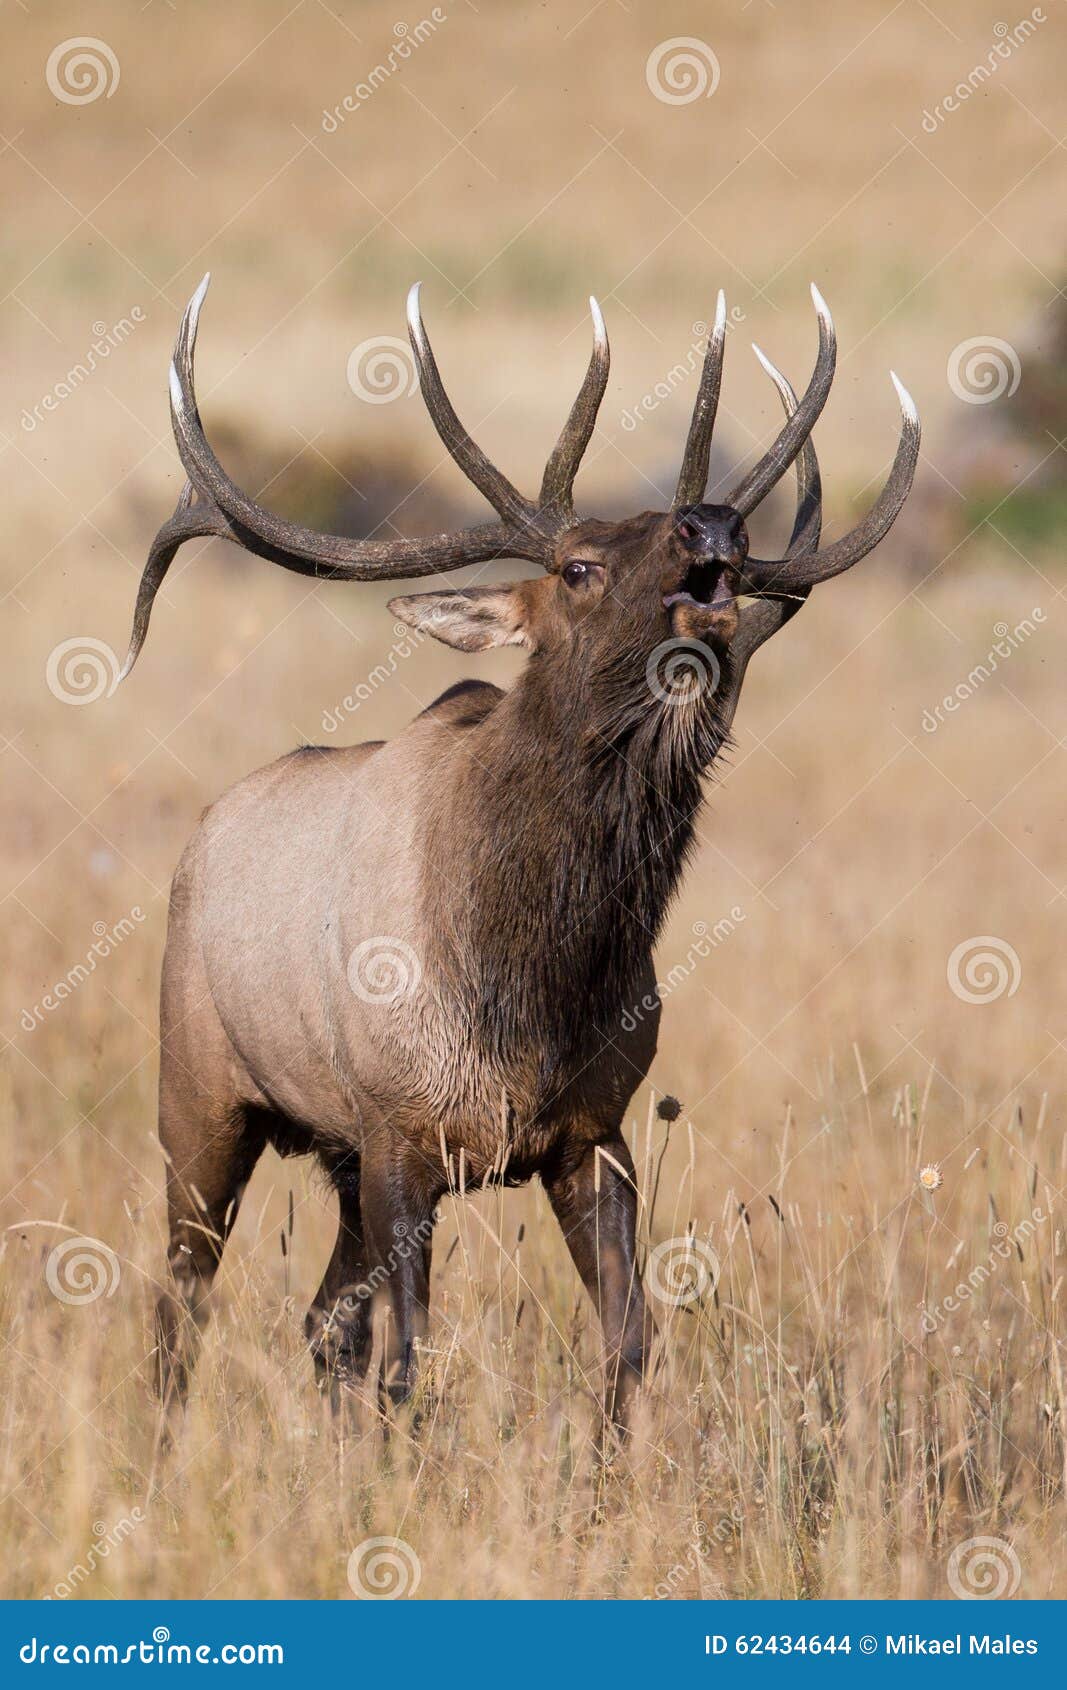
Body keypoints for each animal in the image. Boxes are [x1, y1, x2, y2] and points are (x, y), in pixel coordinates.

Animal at [120, 274, 918, 1433]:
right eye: (579, 566)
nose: (713, 521)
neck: (528, 985)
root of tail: (201, 836)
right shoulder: (402, 1129)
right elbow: (411, 1360)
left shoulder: (592, 1130)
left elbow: (626, 1345)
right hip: (202, 1095)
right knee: (180, 1304)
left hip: (339, 1156)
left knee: (318, 1321)